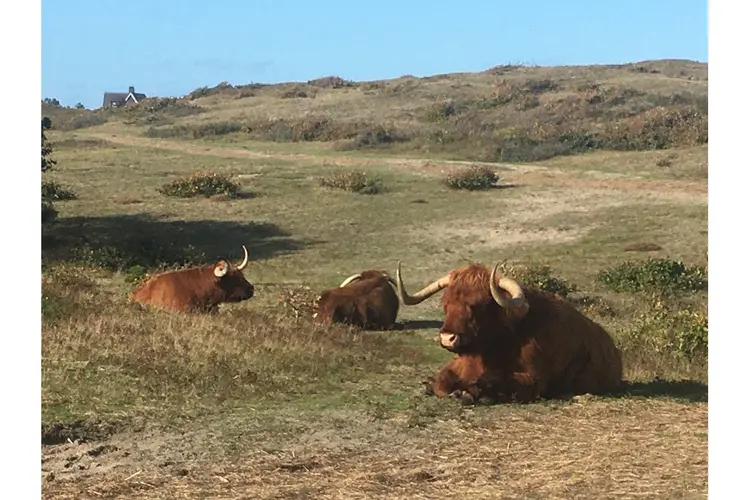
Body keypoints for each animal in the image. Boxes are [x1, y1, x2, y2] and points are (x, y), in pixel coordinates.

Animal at [396, 260, 624, 404]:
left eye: (478, 304)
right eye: (446, 302)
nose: (448, 337)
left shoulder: (532, 380)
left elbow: (494, 381)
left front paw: (471, 393)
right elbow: (441, 382)